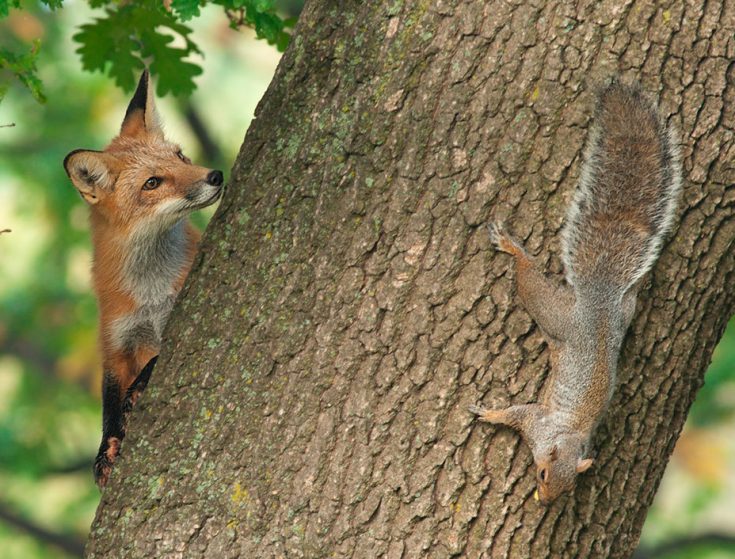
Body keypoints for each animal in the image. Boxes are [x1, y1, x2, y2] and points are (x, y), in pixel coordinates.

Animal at [63, 71, 224, 490]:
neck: (149, 291)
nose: (215, 175)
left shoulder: (174, 318)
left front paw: (136, 394)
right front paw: (106, 448)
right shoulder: (115, 339)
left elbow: (151, 366)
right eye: (153, 183)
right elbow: (108, 402)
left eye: (180, 156)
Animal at [472, 81, 684, 506]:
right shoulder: (536, 421)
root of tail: (599, 299)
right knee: (528, 277)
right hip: (552, 310)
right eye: (541, 473)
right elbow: (515, 413)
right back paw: (513, 248)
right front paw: (490, 414)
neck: (566, 437)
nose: (545, 501)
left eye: (569, 486)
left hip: (613, 313)